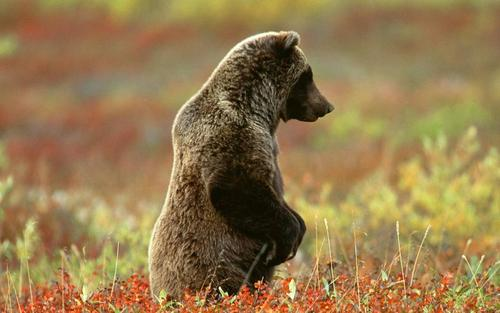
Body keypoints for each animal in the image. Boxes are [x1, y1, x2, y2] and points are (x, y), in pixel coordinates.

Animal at [149, 31, 336, 298]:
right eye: (307, 76)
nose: (326, 106)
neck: (258, 109)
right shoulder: (233, 136)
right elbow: (234, 187)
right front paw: (285, 244)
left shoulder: (268, 144)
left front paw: (299, 226)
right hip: (213, 264)